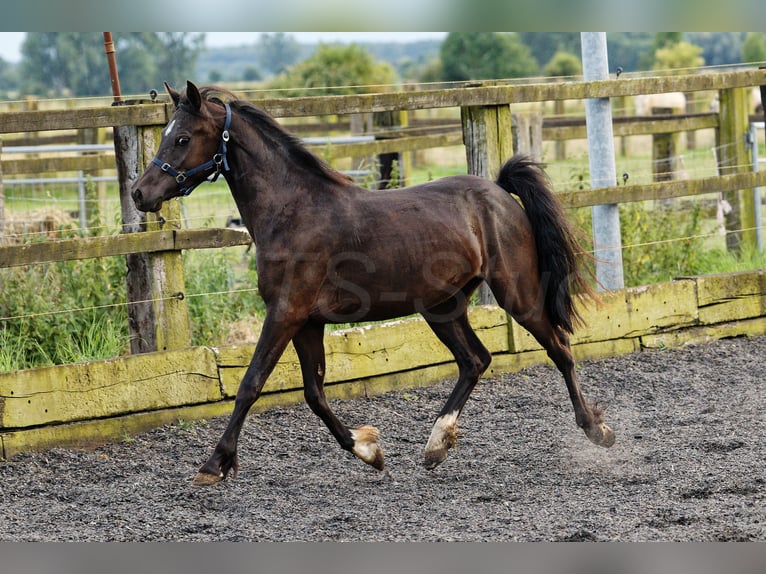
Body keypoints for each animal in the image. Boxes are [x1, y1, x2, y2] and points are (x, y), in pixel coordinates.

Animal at [129, 81, 616, 486]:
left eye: (182, 137)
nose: (139, 193)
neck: (293, 212)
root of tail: (499, 193)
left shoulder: (285, 312)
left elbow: (251, 384)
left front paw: (213, 465)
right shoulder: (308, 322)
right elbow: (314, 393)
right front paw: (369, 450)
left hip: (517, 294)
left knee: (558, 347)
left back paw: (596, 429)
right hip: (442, 306)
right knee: (475, 360)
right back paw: (435, 446)